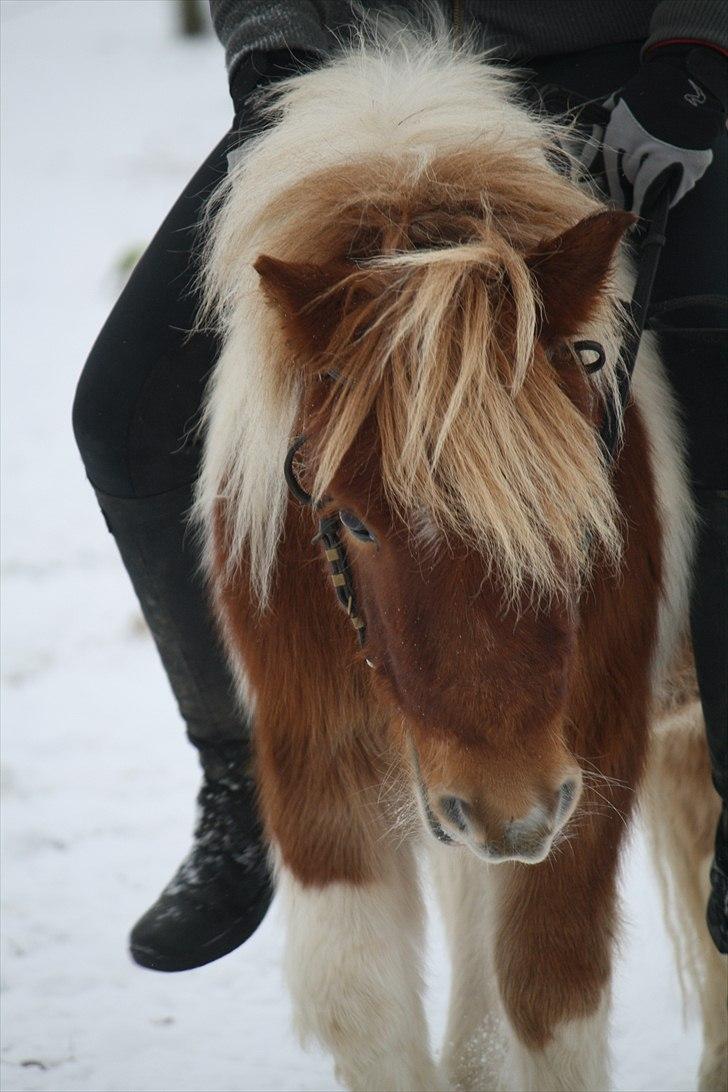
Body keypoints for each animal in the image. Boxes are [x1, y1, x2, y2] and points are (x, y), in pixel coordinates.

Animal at [196, 23, 724, 1092]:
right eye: (353, 521)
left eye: (578, 497)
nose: (513, 809)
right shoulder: (324, 768)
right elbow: (364, 1003)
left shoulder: (584, 767)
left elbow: (544, 1004)